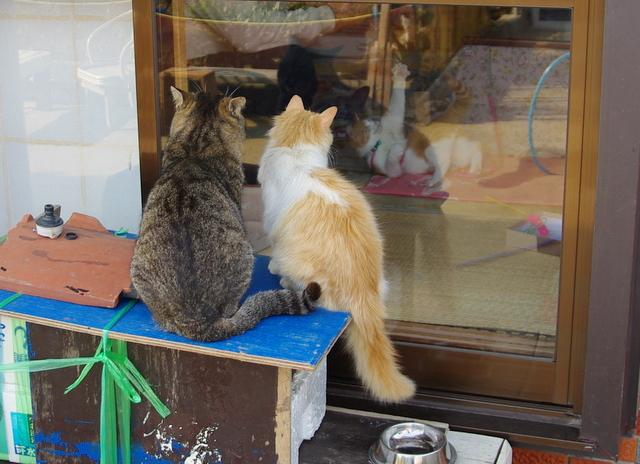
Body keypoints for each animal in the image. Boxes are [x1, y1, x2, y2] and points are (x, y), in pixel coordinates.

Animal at [348, 63, 482, 187]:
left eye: (371, 120)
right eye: (365, 129)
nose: (376, 122)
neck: (378, 143)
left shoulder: (393, 121)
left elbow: (396, 105)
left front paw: (399, 75)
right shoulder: (392, 172)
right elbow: (391, 162)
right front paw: (396, 150)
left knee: (461, 156)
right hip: (448, 151)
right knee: (460, 157)